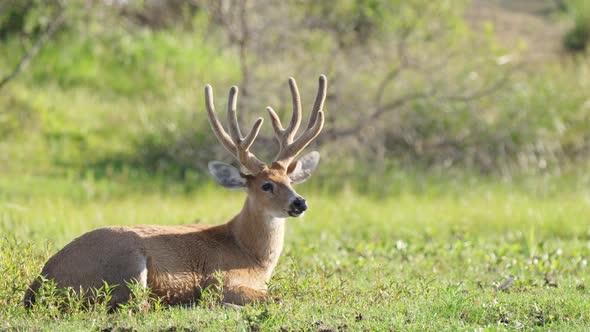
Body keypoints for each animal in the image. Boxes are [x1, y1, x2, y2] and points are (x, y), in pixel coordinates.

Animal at [23, 75, 328, 308]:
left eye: (291, 181)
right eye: (266, 185)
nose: (300, 203)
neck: (248, 252)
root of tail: (38, 286)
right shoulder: (220, 280)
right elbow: (276, 298)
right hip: (127, 260)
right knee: (135, 305)